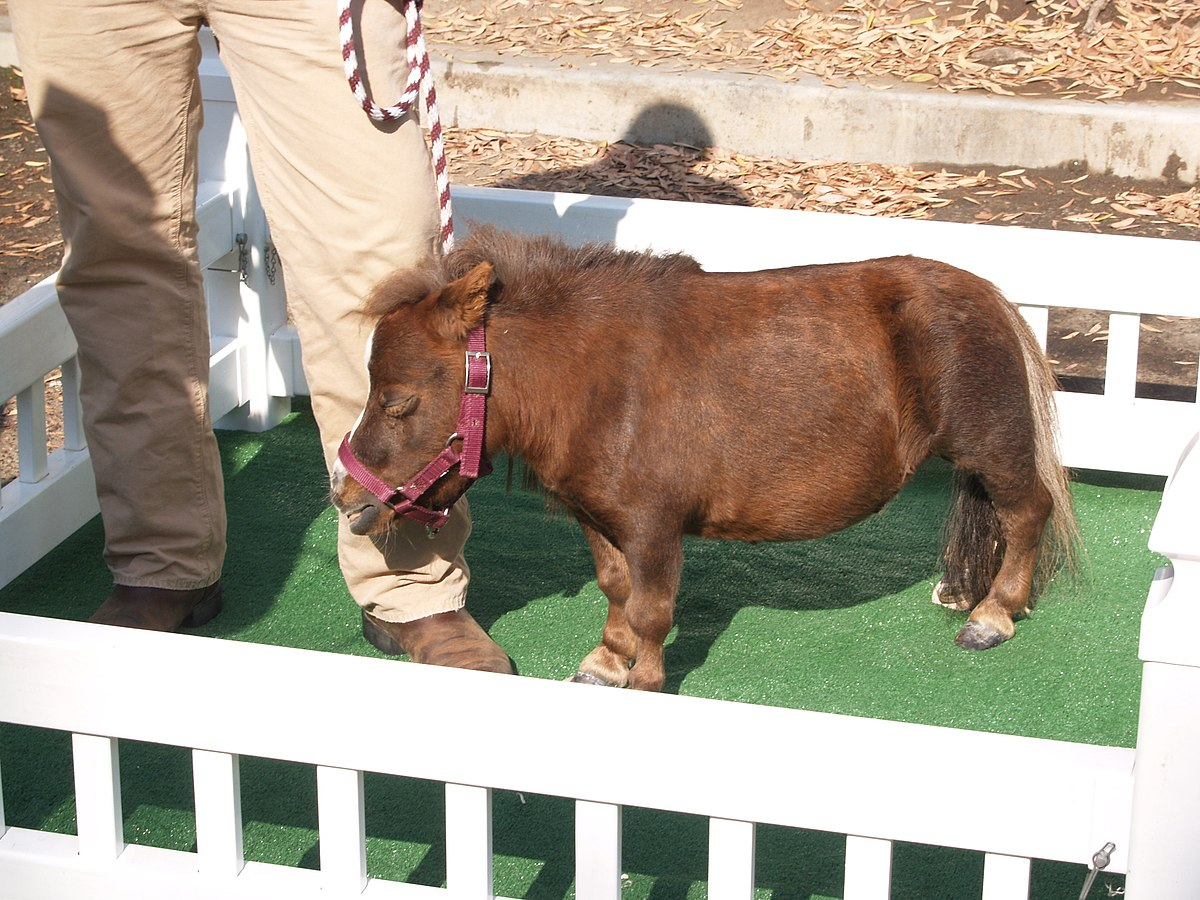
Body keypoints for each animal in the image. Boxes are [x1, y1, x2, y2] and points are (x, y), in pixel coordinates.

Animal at [331, 225, 1080, 691]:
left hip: (992, 445)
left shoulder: (655, 528)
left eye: (397, 402)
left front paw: (645, 681)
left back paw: (993, 615)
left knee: (1028, 512)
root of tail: (990, 296)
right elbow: (616, 589)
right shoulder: (600, 520)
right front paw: (606, 662)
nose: (346, 499)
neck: (597, 384)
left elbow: (652, 611)